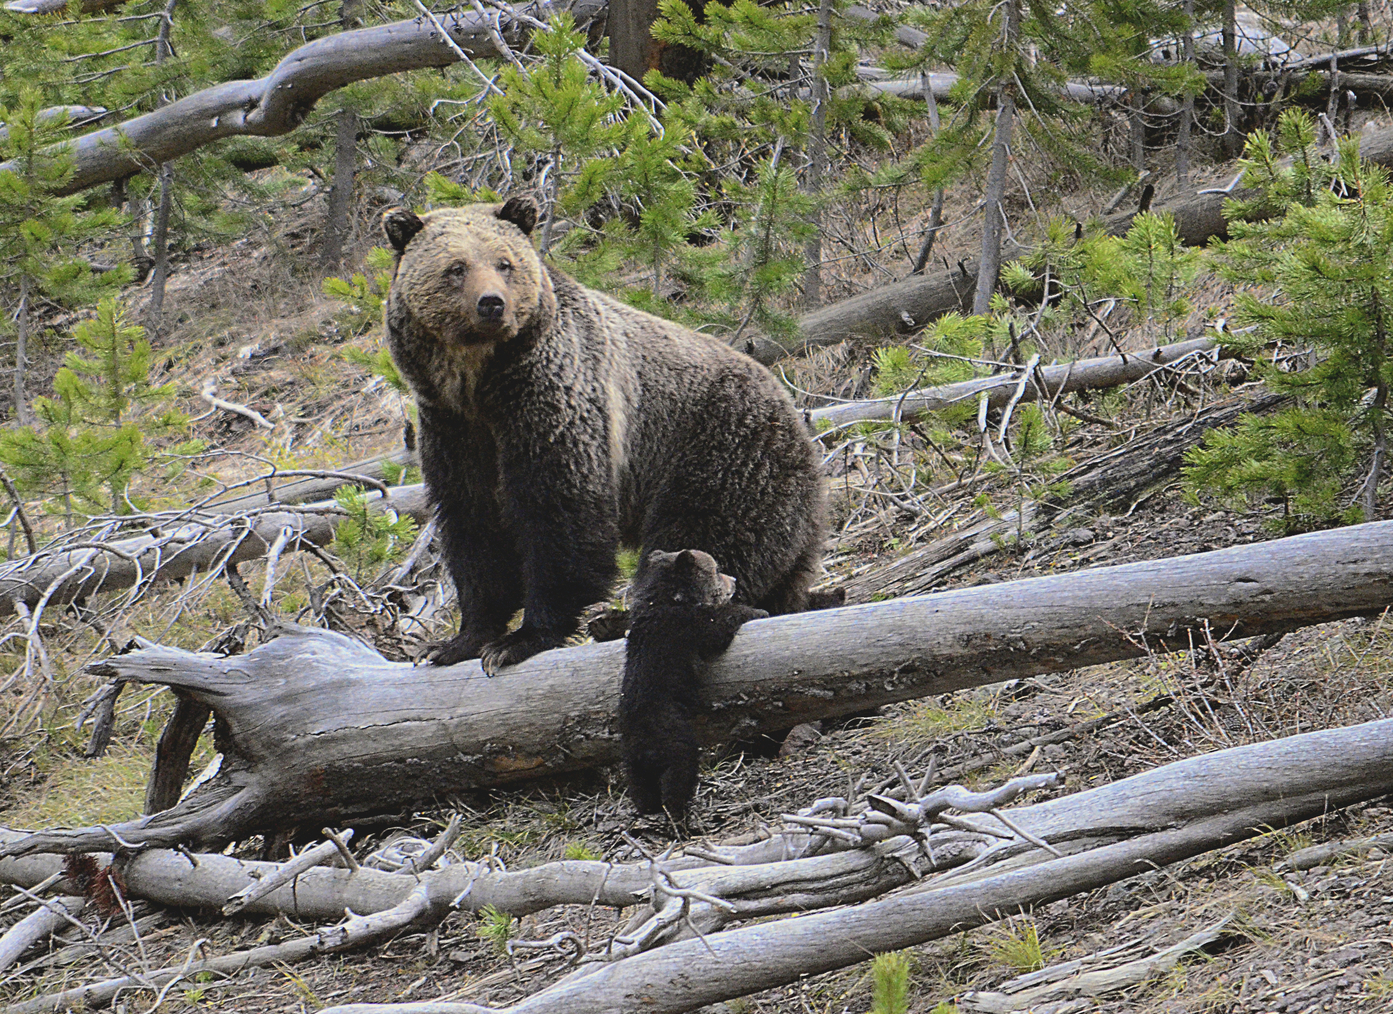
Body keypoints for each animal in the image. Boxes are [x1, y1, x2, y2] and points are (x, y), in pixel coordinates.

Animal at [381, 196, 819, 674]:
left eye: (504, 263)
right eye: (456, 267)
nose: (492, 304)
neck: (479, 383)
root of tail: (797, 417)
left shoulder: (554, 400)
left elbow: (560, 512)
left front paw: (521, 639)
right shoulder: (453, 428)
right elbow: (473, 525)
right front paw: (457, 641)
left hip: (722, 450)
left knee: (704, 539)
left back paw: (628, 617)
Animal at [624, 551, 768, 813]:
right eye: (716, 569)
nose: (734, 580)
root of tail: (644, 748)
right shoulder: (688, 626)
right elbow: (718, 627)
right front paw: (757, 611)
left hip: (632, 761)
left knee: (641, 789)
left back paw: (648, 807)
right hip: (674, 741)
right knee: (679, 775)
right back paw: (679, 810)